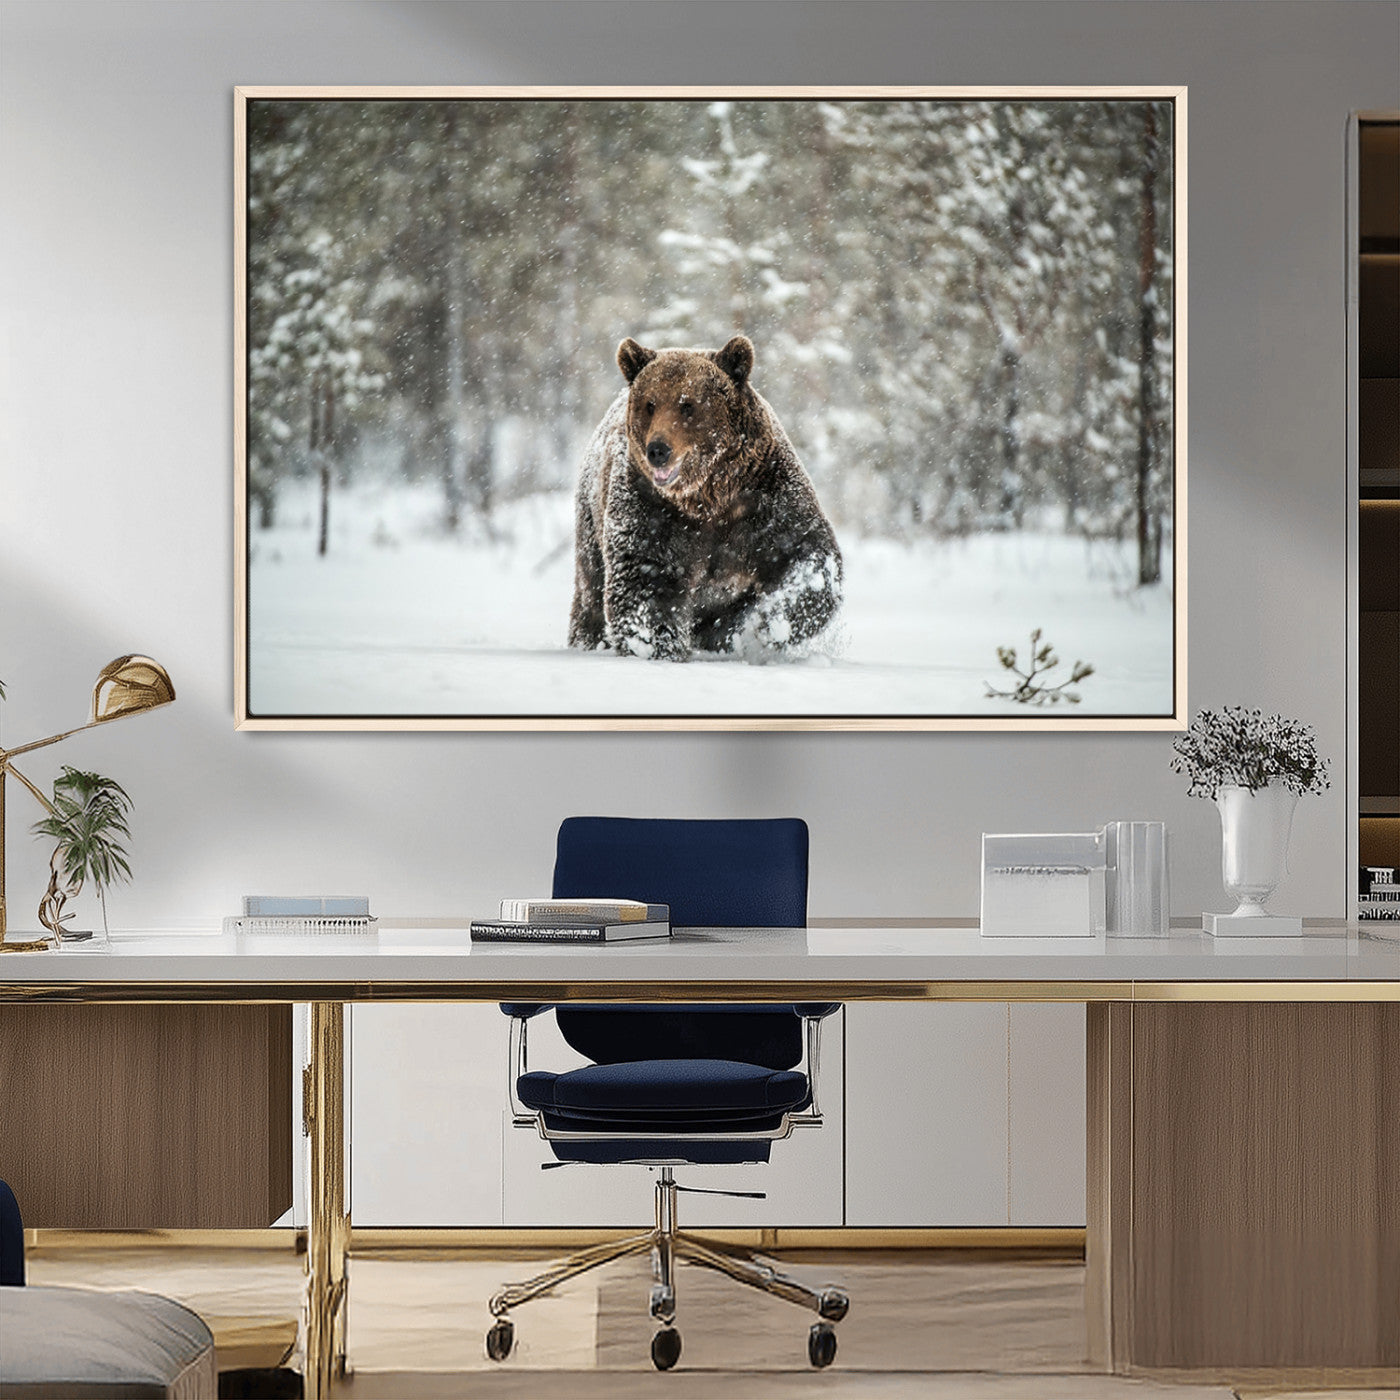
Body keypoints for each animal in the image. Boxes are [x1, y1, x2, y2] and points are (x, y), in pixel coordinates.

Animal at [568, 335, 843, 663]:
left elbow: (806, 554)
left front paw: (768, 624)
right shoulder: (651, 509)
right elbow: (645, 579)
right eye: (650, 404)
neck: (708, 496)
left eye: (687, 404)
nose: (658, 450)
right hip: (591, 517)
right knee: (591, 590)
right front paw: (658, 647)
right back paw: (588, 639)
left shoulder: (766, 497)